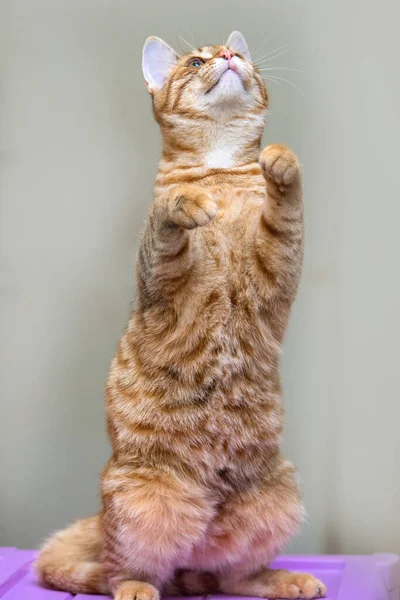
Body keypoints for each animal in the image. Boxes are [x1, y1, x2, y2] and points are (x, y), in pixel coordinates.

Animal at [36, 31, 326, 600]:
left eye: (242, 56)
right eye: (196, 61)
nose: (230, 57)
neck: (220, 172)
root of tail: (195, 557)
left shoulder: (278, 264)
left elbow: (287, 211)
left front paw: (282, 163)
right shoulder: (165, 281)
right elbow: (166, 220)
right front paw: (185, 203)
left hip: (276, 495)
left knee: (234, 577)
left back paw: (282, 579)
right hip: (141, 504)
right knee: (121, 570)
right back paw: (137, 587)